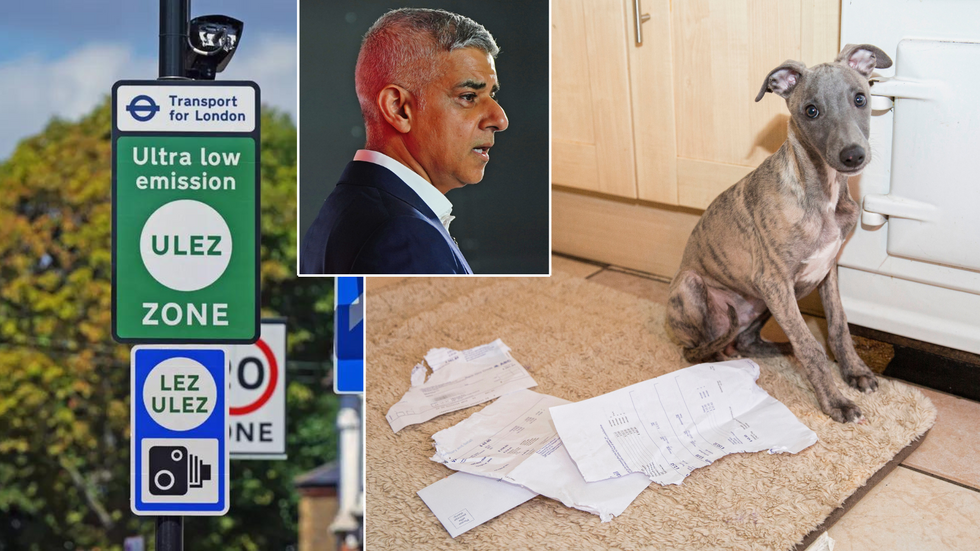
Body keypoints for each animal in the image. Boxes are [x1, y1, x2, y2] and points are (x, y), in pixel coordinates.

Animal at [668, 45, 892, 424]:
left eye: (860, 98)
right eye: (811, 110)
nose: (853, 156)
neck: (822, 193)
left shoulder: (827, 272)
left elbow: (839, 326)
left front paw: (855, 371)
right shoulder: (774, 281)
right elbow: (811, 347)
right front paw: (836, 402)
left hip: (763, 303)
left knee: (746, 340)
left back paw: (778, 348)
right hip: (695, 286)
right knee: (697, 351)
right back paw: (722, 360)